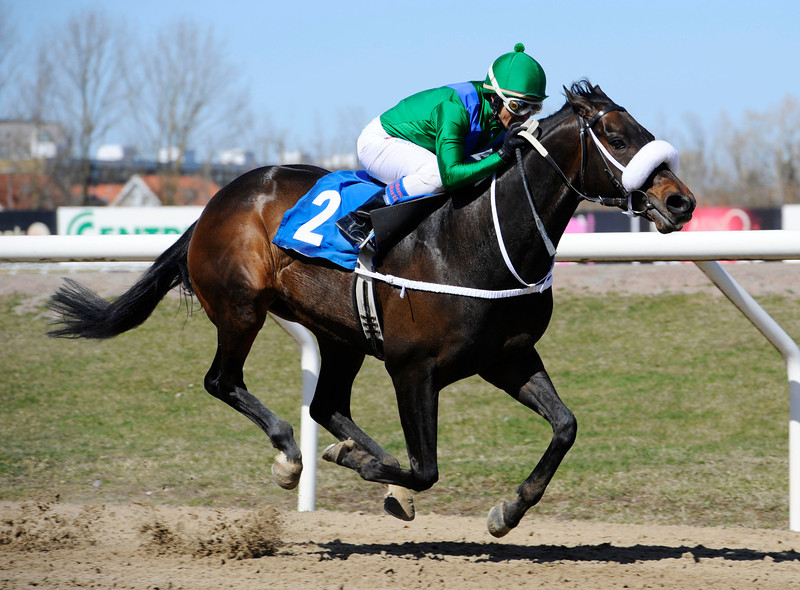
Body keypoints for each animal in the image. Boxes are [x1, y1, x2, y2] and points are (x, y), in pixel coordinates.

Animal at [47, 81, 692, 540]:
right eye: (616, 135)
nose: (680, 201)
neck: (478, 237)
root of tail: (214, 203)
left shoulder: (506, 357)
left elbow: (564, 426)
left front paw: (507, 510)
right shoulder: (413, 370)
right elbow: (426, 468)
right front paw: (372, 474)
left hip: (338, 335)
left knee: (325, 404)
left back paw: (349, 452)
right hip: (242, 308)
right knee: (224, 381)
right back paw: (291, 456)